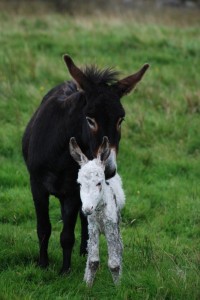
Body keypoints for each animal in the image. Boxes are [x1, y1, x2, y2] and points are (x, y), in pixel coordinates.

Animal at [69, 136, 125, 286]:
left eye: (99, 183)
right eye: (79, 184)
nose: (87, 209)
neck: (99, 210)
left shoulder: (111, 226)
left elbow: (114, 263)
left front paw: (118, 287)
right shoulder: (92, 226)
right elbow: (93, 261)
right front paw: (87, 285)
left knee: (120, 246)